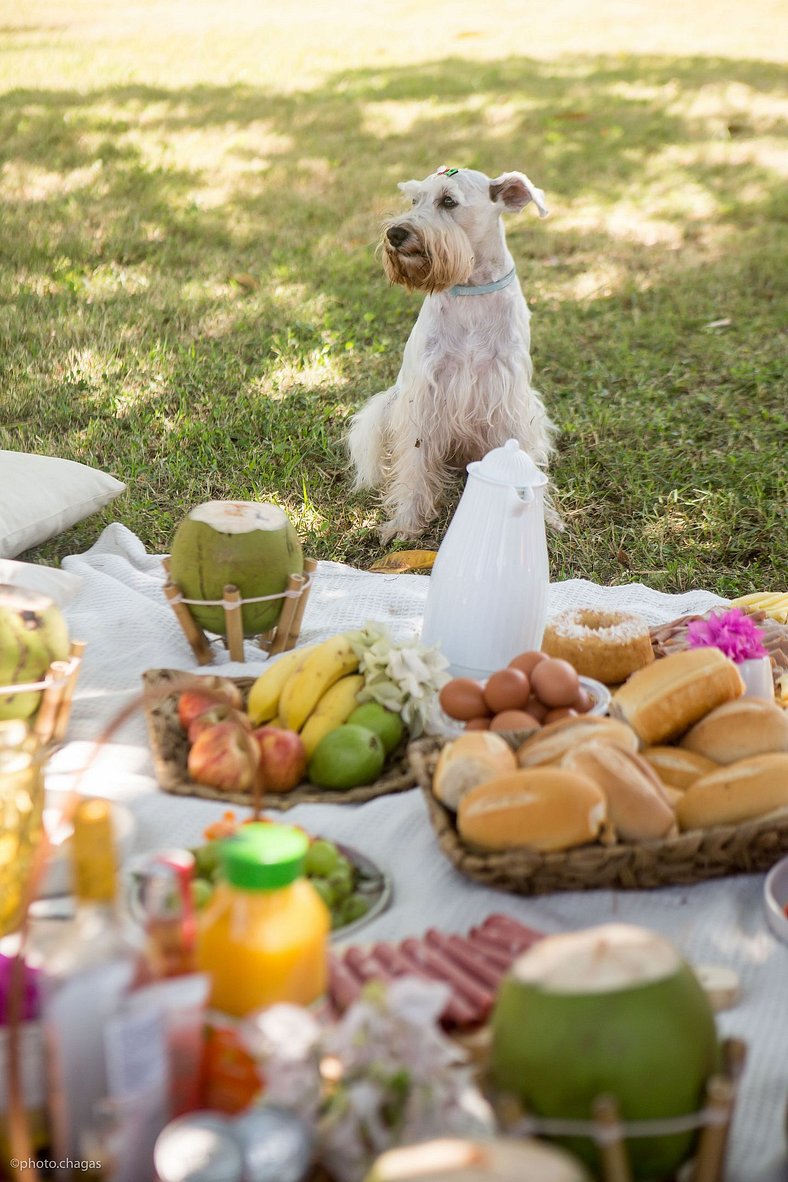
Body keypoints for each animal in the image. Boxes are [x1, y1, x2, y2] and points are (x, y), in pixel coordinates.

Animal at [347, 164, 557, 541]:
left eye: (448, 201)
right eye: (414, 199)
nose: (395, 233)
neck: (471, 288)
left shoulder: (510, 395)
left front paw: (543, 517)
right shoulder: (424, 396)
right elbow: (414, 462)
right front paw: (406, 522)